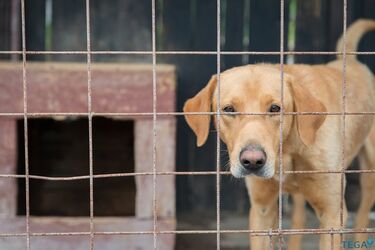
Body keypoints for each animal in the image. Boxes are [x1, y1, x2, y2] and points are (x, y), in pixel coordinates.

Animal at [184, 20, 375, 250]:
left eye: (275, 108)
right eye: (229, 109)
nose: (252, 161)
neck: (288, 150)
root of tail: (353, 62)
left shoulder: (331, 214)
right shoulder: (262, 209)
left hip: (369, 174)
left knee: (363, 215)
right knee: (299, 218)